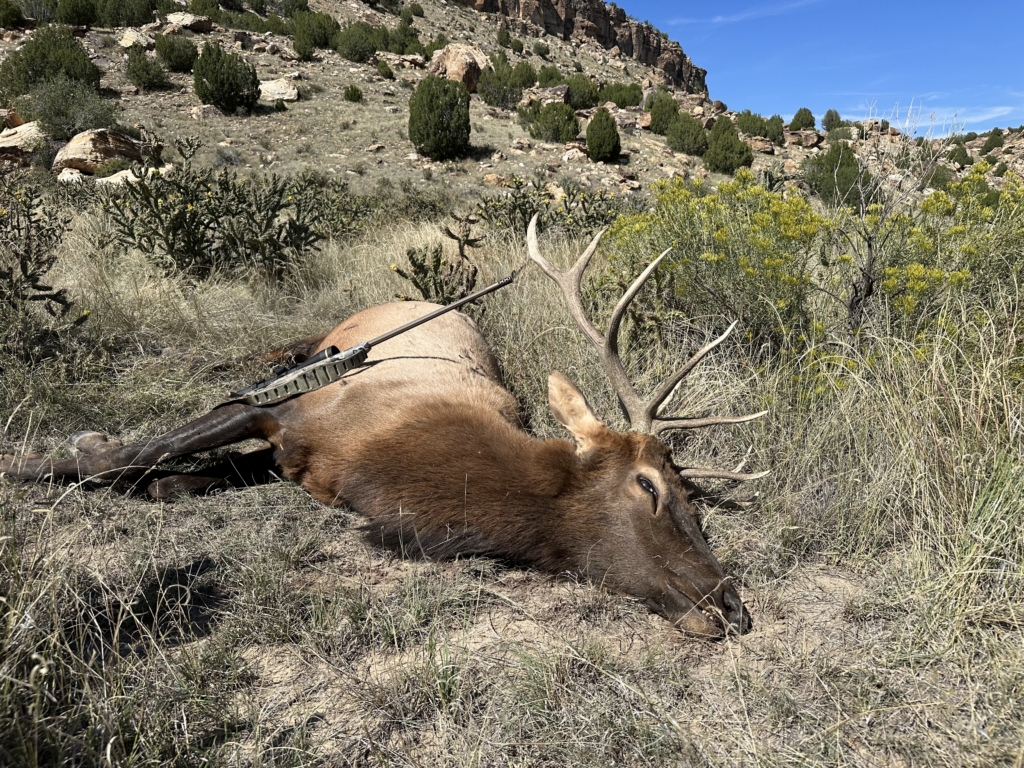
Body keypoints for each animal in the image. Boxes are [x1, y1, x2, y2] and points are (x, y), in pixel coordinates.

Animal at [0, 216, 767, 637]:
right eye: (650, 486)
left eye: (697, 501)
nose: (731, 606)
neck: (391, 468)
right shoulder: (282, 410)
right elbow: (134, 450)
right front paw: (39, 459)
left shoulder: (298, 457)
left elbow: (193, 473)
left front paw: (169, 483)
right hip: (322, 343)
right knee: (280, 353)